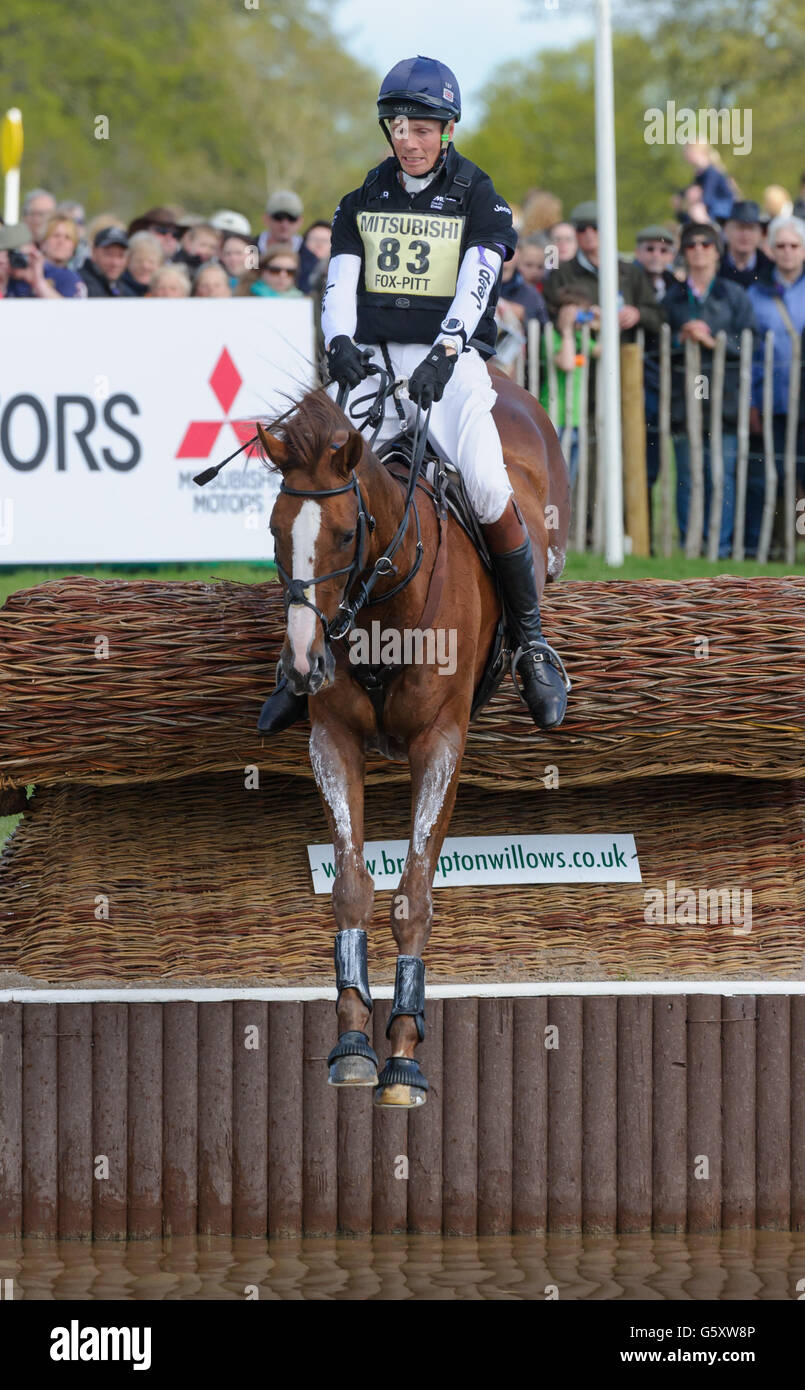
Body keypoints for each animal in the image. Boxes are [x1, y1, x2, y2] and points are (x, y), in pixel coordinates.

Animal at [255, 369, 570, 1106]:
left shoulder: (440, 743)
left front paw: (402, 1051)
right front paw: (352, 1040)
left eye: (347, 536)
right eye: (276, 531)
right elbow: (351, 886)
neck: (380, 608)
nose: (303, 665)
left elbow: (413, 894)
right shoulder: (333, 740)